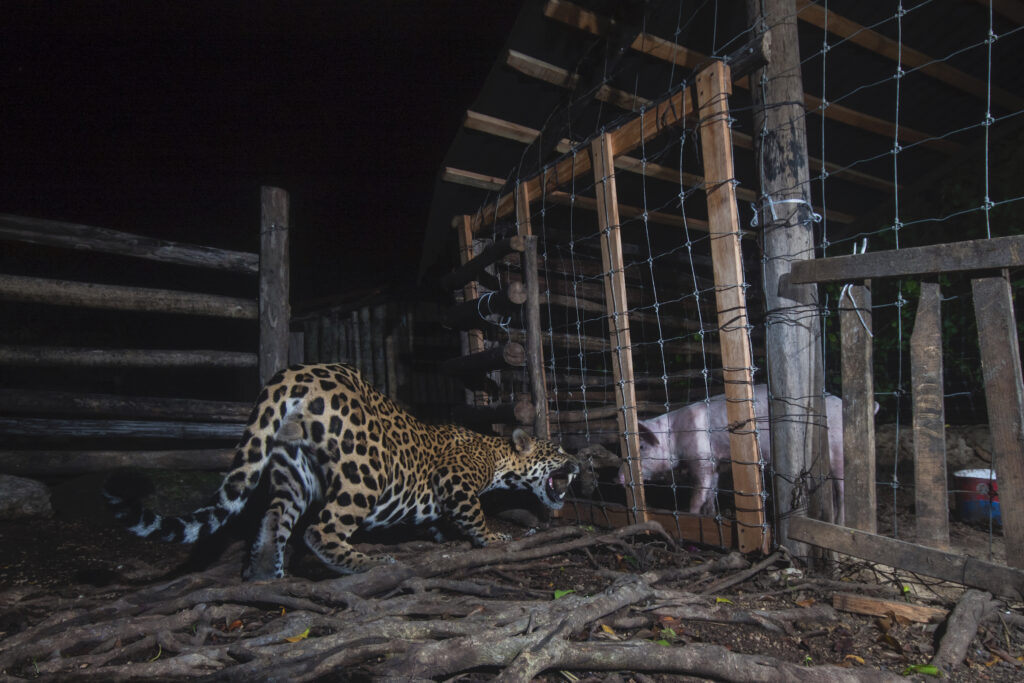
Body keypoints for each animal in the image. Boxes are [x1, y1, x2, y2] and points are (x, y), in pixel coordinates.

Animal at [622, 387, 847, 520]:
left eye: (642, 447)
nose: (619, 478)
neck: (675, 436)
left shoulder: (702, 458)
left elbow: (698, 494)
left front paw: (691, 516)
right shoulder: (715, 463)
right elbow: (710, 493)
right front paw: (711, 515)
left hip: (837, 451)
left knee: (841, 491)